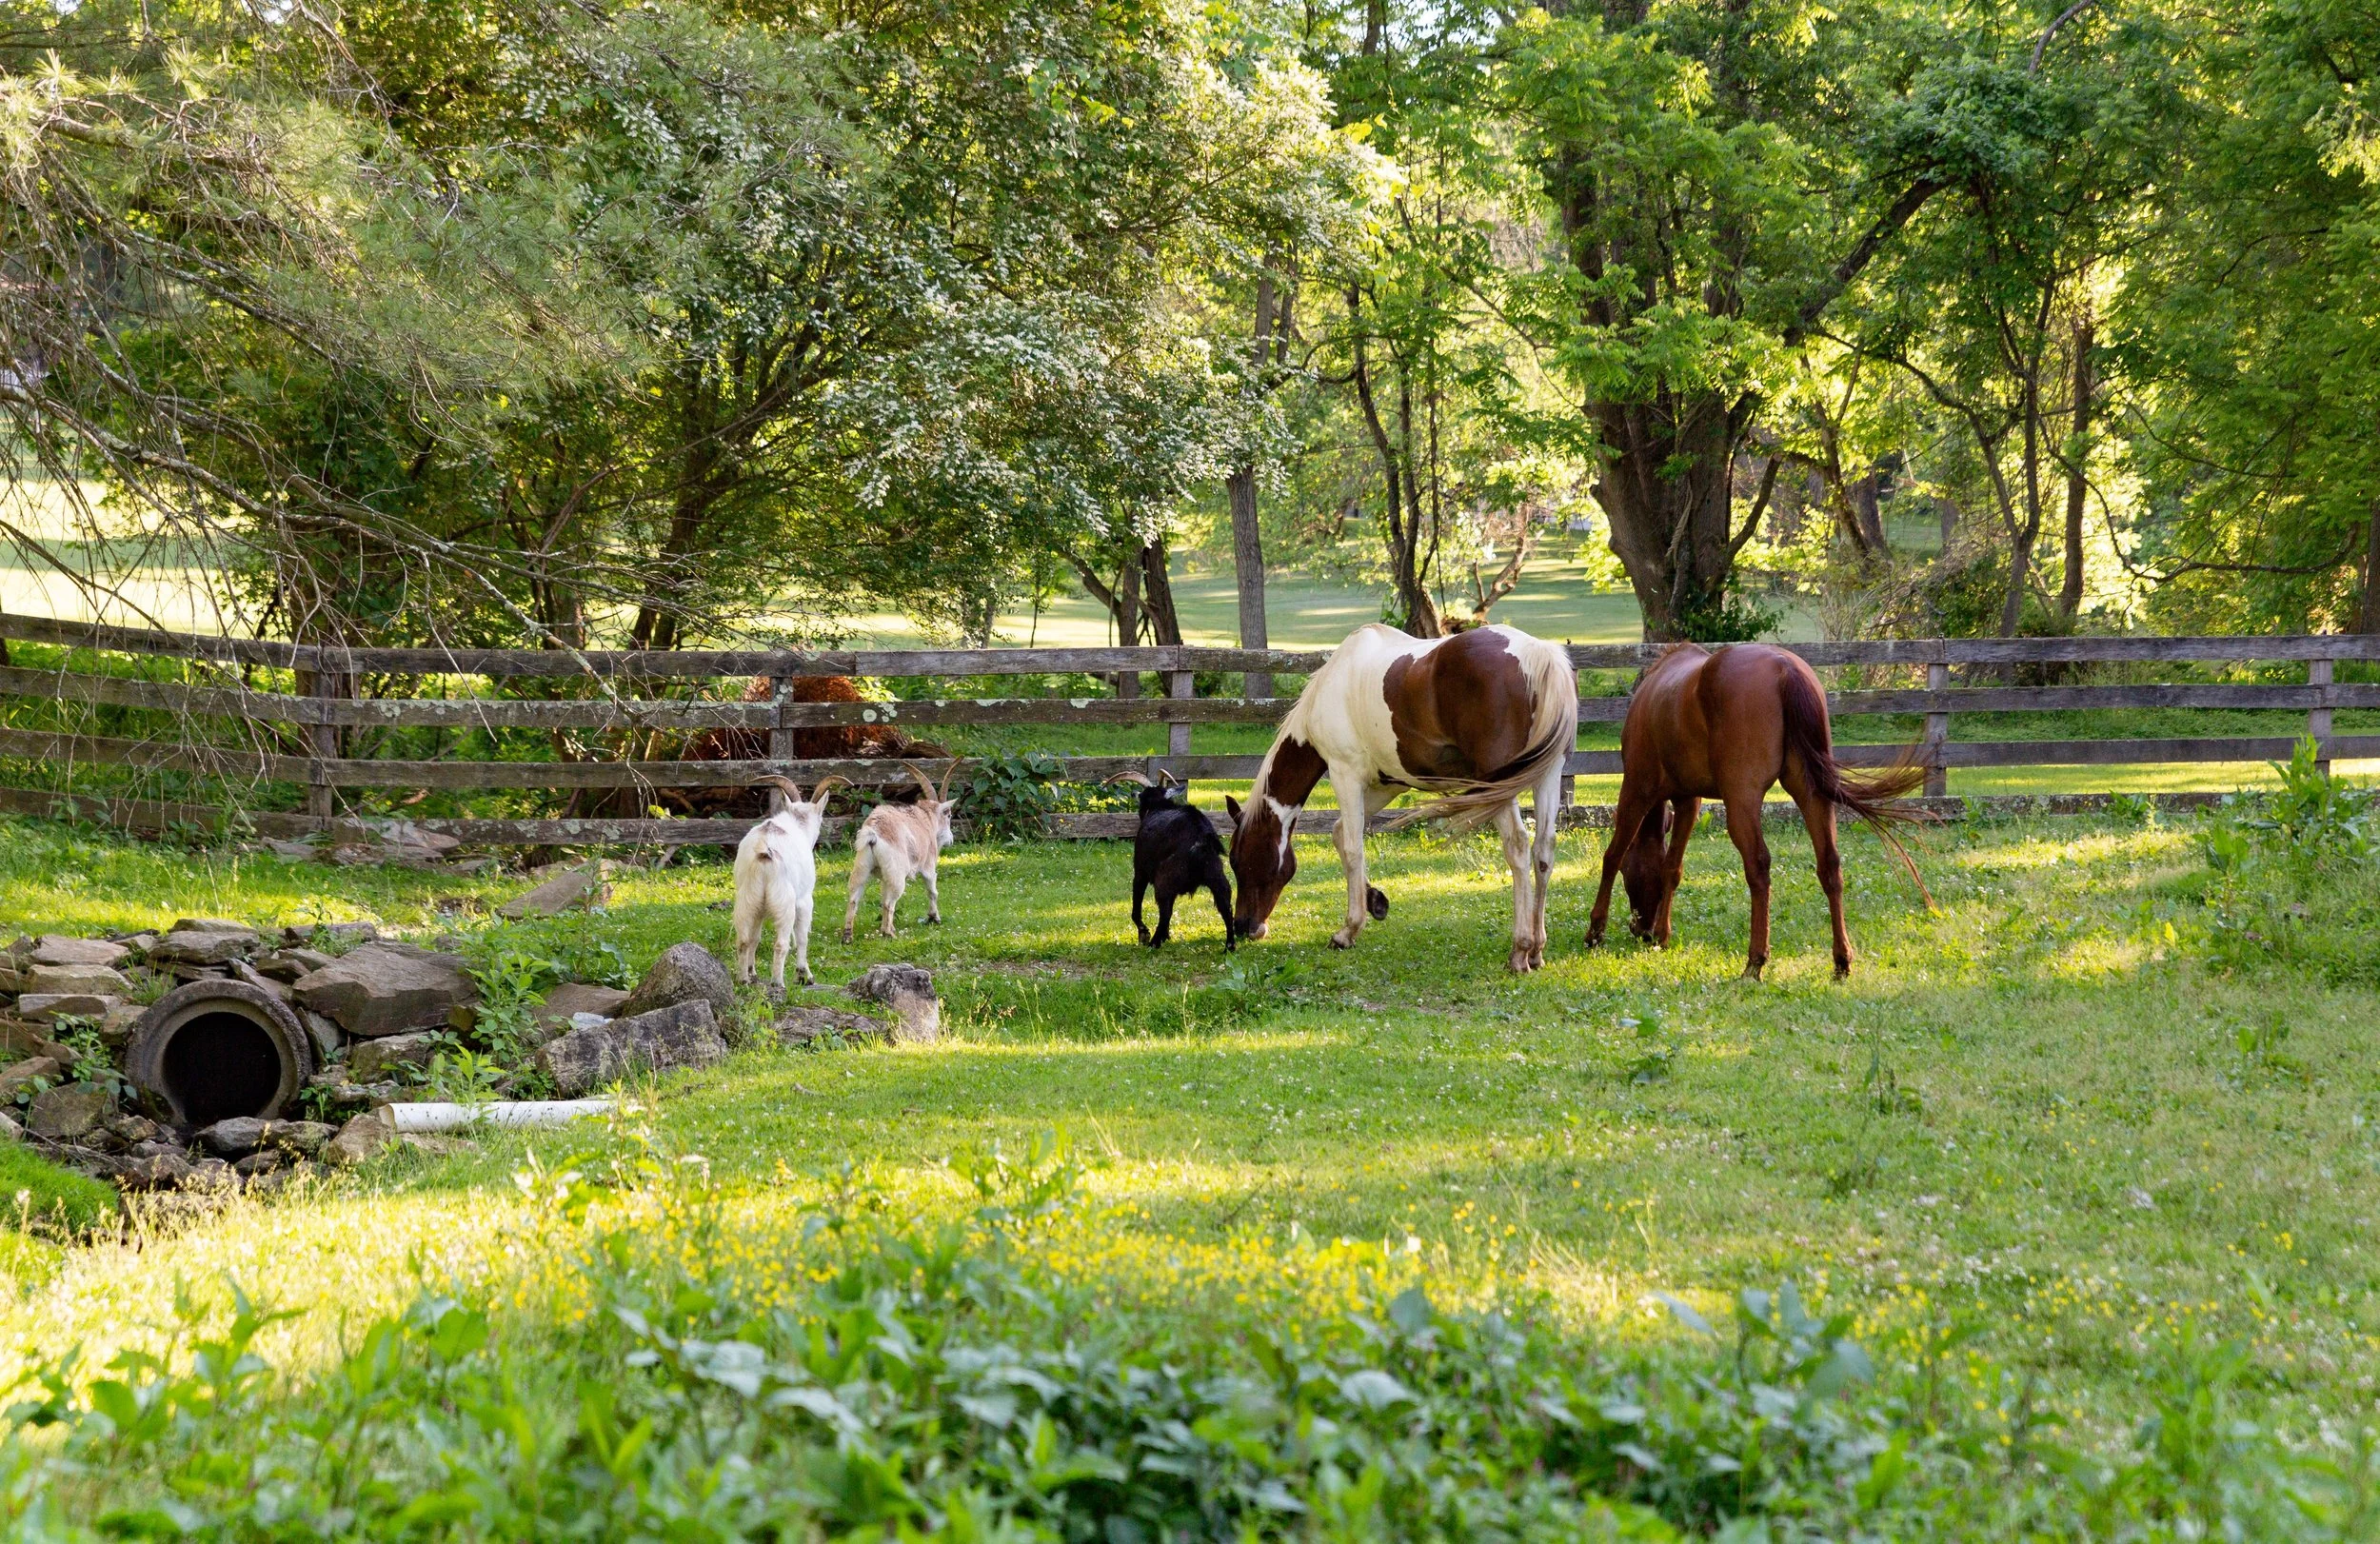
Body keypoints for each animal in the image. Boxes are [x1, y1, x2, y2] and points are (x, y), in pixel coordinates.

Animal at [733, 775, 846, 992]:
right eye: (821, 819)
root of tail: (764, 850)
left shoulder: (760, 908)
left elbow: (755, 938)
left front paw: (752, 973)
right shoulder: (804, 901)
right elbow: (801, 938)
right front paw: (805, 976)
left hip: (748, 899)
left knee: (744, 940)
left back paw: (743, 980)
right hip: (784, 901)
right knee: (781, 943)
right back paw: (778, 983)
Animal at [844, 762, 959, 941]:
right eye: (948, 815)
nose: (950, 840)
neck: (925, 818)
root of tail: (873, 833)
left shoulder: (885, 876)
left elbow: (883, 894)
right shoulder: (928, 866)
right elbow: (932, 890)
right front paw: (934, 918)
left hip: (863, 866)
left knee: (855, 899)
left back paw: (848, 936)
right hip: (897, 873)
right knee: (889, 902)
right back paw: (889, 933)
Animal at [1106, 770, 1235, 951]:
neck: (1159, 806)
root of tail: (1201, 838)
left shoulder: (1140, 872)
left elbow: (1137, 907)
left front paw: (1145, 934)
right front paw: (1166, 936)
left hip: (1164, 879)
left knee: (1165, 911)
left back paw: (1153, 942)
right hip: (1217, 875)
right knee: (1226, 907)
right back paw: (1229, 946)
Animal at [1224, 623, 1579, 973]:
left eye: (1238, 859)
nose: (1244, 927)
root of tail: (1538, 653)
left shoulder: (1345, 774)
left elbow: (1352, 847)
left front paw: (1348, 931)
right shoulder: (1387, 785)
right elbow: (1341, 834)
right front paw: (1374, 901)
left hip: (1500, 785)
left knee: (1517, 847)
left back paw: (1520, 951)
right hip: (1547, 774)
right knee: (1543, 851)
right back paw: (1536, 951)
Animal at [1585, 642, 1930, 979]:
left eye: (1632, 872)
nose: (1641, 930)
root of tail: (1786, 669)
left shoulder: (1636, 790)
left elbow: (1612, 857)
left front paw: (1596, 931)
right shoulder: (1688, 800)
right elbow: (1672, 867)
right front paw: (1662, 935)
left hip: (1742, 799)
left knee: (1759, 867)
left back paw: (1755, 961)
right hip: (1811, 792)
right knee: (1829, 864)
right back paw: (1841, 960)